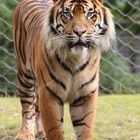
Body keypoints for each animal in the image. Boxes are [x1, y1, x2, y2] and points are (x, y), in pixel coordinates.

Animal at [12, 0, 115, 139]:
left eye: (89, 14)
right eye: (67, 14)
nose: (79, 32)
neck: (75, 59)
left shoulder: (86, 94)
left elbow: (85, 128)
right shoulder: (49, 93)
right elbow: (55, 129)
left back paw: (41, 132)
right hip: (24, 74)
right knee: (27, 106)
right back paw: (25, 133)